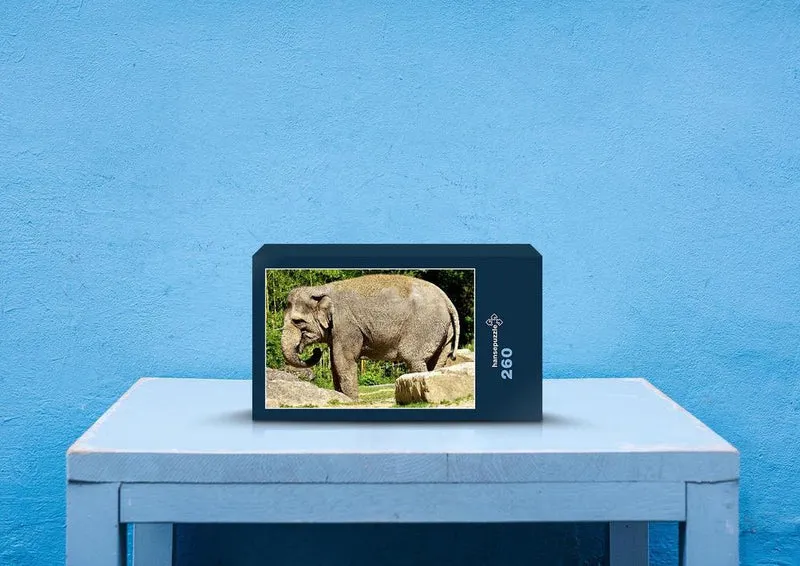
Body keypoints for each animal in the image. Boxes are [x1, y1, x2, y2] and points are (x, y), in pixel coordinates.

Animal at [280, 274, 460, 400]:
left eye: (297, 321)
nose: (316, 351)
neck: (319, 288)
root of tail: (447, 300)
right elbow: (334, 362)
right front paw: (342, 397)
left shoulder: (346, 325)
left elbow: (342, 360)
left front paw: (351, 401)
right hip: (445, 331)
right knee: (437, 361)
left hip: (425, 326)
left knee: (413, 358)